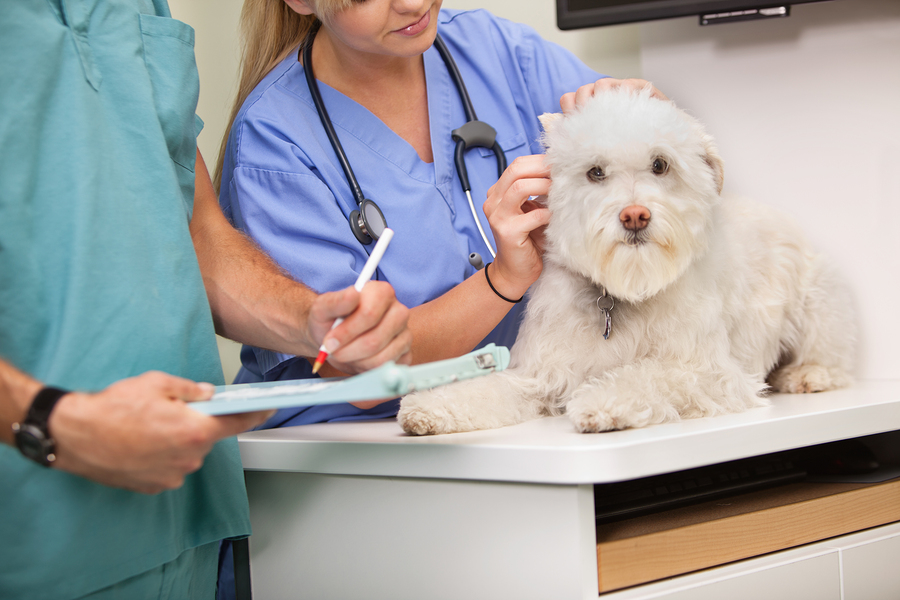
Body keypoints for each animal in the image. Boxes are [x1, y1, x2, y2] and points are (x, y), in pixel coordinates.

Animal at [398, 88, 856, 436]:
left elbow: (646, 375)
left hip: (818, 299)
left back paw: (806, 375)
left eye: (660, 164)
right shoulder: (536, 374)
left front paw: (600, 403)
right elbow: (489, 389)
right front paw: (428, 406)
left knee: (834, 359)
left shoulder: (709, 374)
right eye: (596, 172)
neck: (621, 293)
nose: (635, 215)